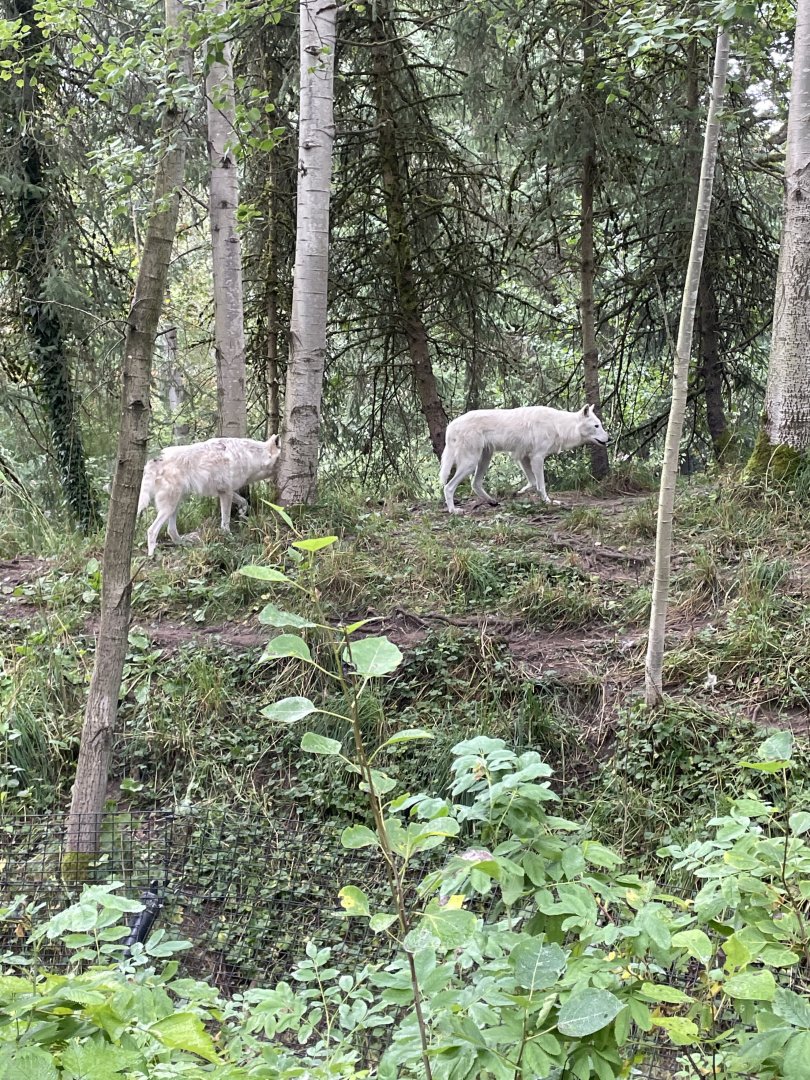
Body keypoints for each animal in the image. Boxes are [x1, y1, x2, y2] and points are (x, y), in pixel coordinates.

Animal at [137, 435, 281, 556]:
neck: (251, 456)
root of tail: (155, 460)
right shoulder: (226, 493)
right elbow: (225, 522)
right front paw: (229, 537)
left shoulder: (227, 491)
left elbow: (244, 501)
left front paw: (242, 512)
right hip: (169, 507)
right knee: (152, 530)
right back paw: (152, 555)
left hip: (176, 504)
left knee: (170, 530)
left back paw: (184, 543)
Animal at [439, 404, 610, 513]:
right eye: (596, 426)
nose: (610, 438)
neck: (558, 425)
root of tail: (451, 425)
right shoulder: (537, 458)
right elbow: (541, 485)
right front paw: (547, 502)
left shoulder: (524, 458)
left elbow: (533, 483)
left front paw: (519, 492)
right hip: (470, 463)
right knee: (448, 487)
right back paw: (453, 510)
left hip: (484, 459)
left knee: (475, 484)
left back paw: (492, 501)